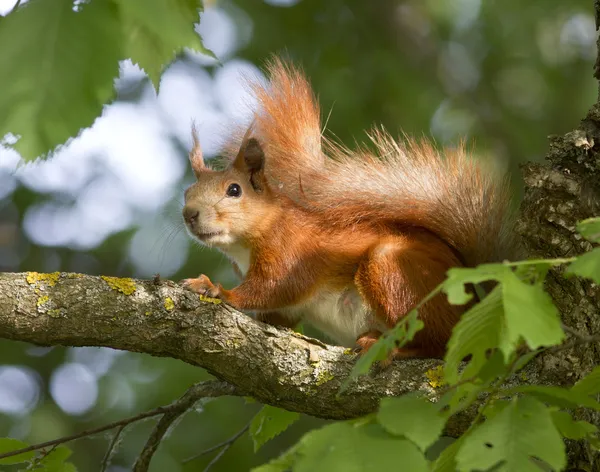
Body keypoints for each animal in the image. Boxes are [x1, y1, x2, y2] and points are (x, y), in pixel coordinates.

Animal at [180, 59, 516, 360]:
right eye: (187, 193)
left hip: (391, 270)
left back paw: (391, 348)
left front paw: (217, 290)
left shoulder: (292, 252)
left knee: (439, 342)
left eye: (234, 190)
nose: (189, 214)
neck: (248, 241)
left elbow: (272, 288)